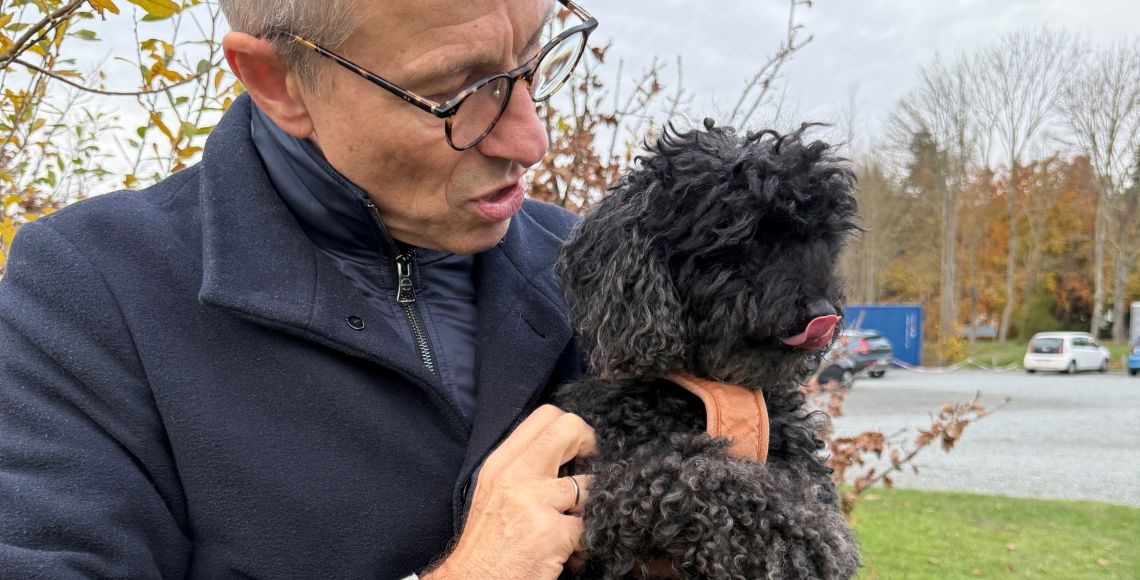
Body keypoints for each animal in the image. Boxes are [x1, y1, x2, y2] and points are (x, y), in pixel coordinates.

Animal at [553, 120, 862, 579]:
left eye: (821, 240)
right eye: (746, 237)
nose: (824, 313)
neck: (721, 384)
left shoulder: (798, 459)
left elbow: (799, 487)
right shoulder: (618, 482)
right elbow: (709, 474)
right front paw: (806, 541)